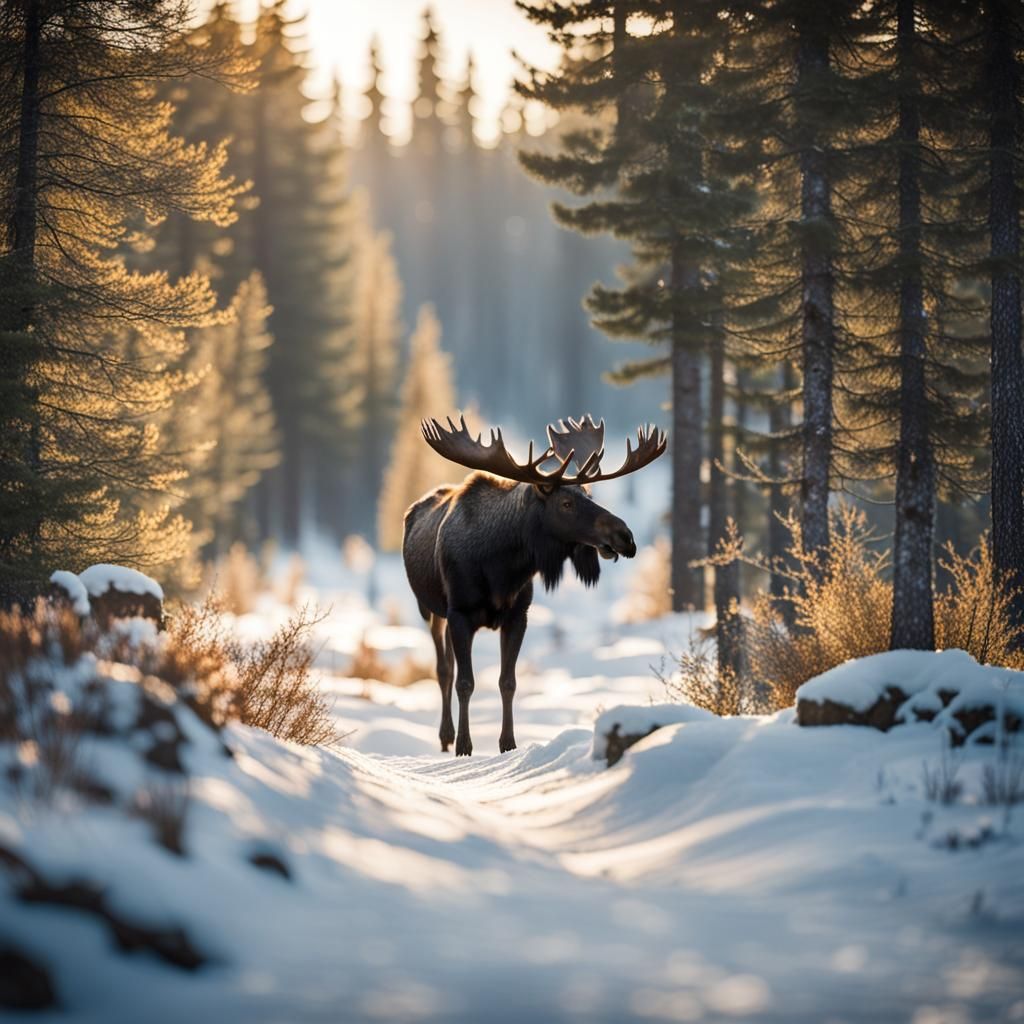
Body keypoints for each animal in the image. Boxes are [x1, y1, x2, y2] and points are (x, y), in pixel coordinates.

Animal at [402, 414, 666, 756]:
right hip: (432, 610)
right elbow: (465, 682)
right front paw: (464, 746)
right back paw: (446, 736)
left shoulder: (518, 615)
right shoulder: (460, 612)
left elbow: (508, 681)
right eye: (566, 502)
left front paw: (508, 744)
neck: (501, 568)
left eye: (590, 495)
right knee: (444, 669)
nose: (626, 537)